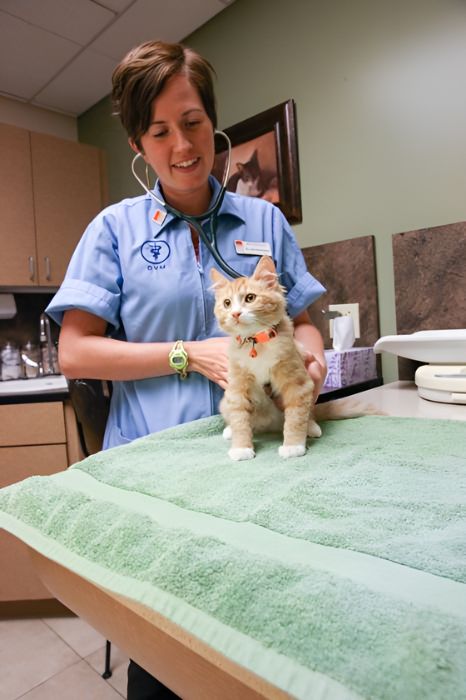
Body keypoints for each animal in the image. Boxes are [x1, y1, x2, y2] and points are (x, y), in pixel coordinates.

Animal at [213, 254, 380, 462]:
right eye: (227, 303)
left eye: (250, 298)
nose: (235, 313)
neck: (257, 343)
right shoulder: (236, 388)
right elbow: (239, 419)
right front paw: (241, 447)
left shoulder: (298, 383)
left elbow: (296, 418)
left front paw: (293, 446)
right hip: (225, 402)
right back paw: (230, 431)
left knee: (307, 415)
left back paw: (312, 428)